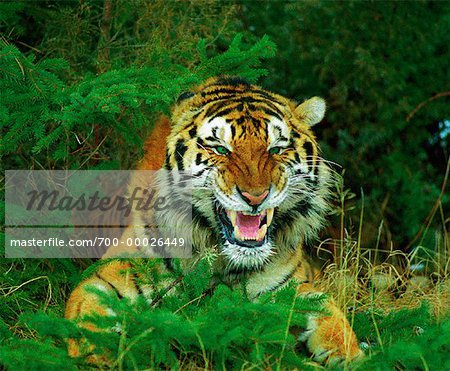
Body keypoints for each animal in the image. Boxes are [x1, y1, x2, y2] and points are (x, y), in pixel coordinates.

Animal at [65, 76, 364, 366]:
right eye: (221, 149)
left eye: (276, 149)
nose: (255, 196)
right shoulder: (109, 274)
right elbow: (87, 316)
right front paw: (96, 355)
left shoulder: (291, 285)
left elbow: (327, 310)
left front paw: (354, 356)